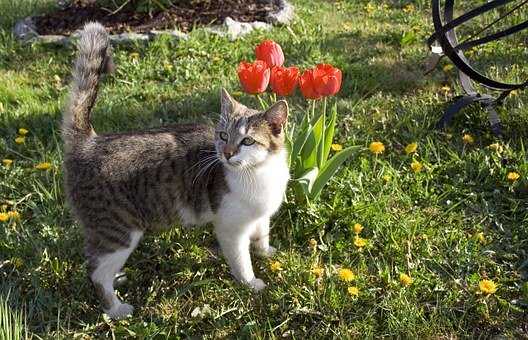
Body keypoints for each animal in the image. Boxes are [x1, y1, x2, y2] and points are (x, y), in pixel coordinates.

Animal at [64, 22, 290, 320]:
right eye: (223, 136)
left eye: (248, 141)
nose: (227, 153)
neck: (258, 173)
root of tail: (90, 142)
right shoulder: (231, 228)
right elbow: (242, 261)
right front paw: (251, 283)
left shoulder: (261, 216)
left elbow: (262, 235)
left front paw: (267, 252)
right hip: (117, 230)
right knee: (95, 271)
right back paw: (116, 309)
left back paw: (118, 278)